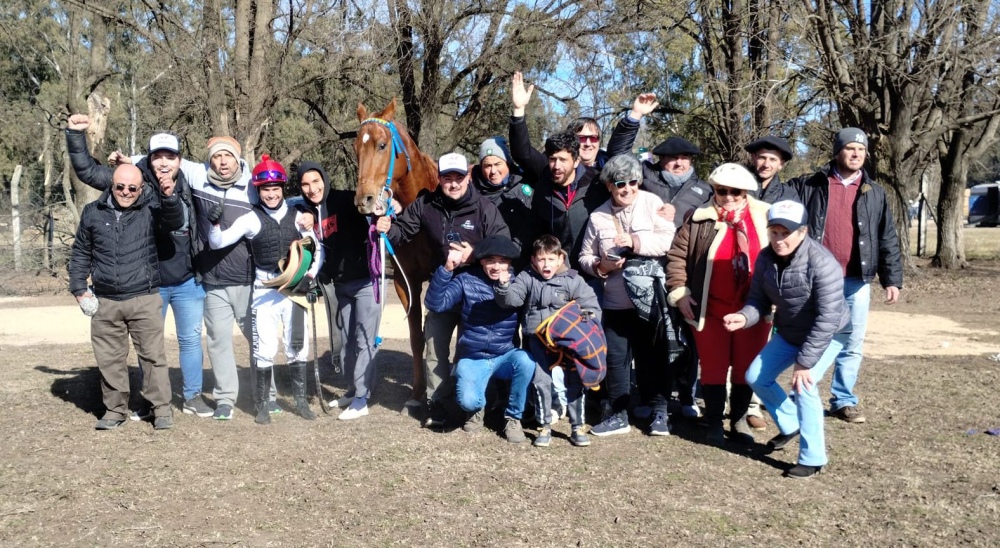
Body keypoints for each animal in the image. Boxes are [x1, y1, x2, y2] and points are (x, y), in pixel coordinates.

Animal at [356, 98, 442, 406]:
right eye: (356, 147)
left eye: (382, 145)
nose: (364, 200)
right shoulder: (407, 282)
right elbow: (417, 337)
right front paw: (417, 394)